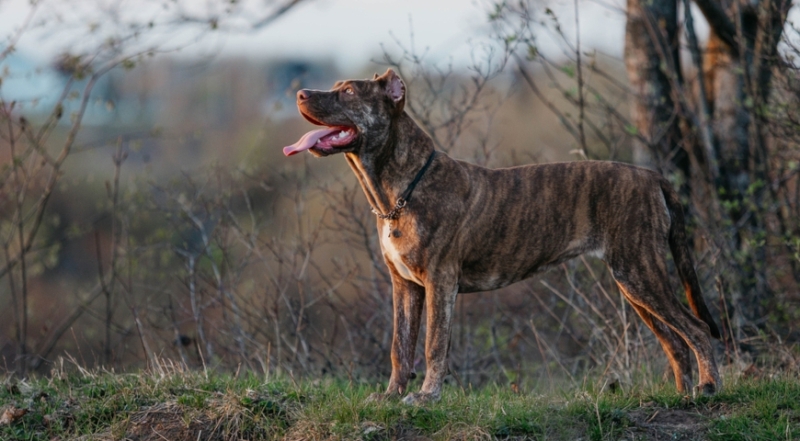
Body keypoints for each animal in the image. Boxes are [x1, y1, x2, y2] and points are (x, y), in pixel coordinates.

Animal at [284, 68, 720, 402]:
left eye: (349, 91)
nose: (300, 93)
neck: (399, 191)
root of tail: (653, 177)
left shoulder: (439, 282)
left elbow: (433, 344)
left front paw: (426, 397)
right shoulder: (404, 286)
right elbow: (399, 347)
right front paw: (391, 396)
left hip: (641, 272)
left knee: (697, 330)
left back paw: (709, 388)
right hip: (634, 283)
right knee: (676, 342)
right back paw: (683, 395)